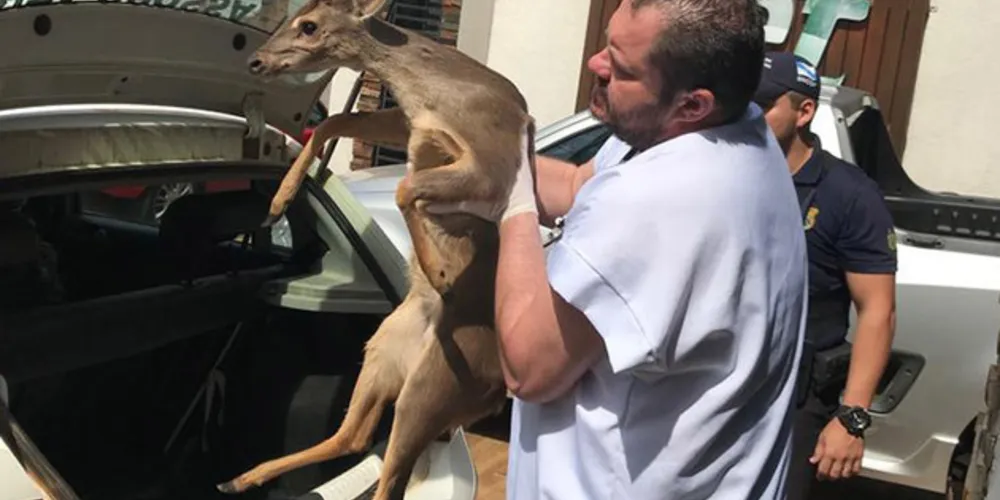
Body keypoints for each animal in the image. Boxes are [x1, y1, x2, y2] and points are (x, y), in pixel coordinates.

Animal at [216, 0, 535, 498]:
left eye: (309, 26)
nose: (256, 61)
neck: (436, 90)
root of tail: (491, 394)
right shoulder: (409, 123)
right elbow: (335, 122)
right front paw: (278, 200)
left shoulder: (491, 164)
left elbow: (405, 187)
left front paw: (440, 273)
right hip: (383, 352)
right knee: (355, 436)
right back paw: (241, 477)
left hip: (435, 386)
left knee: (389, 474)